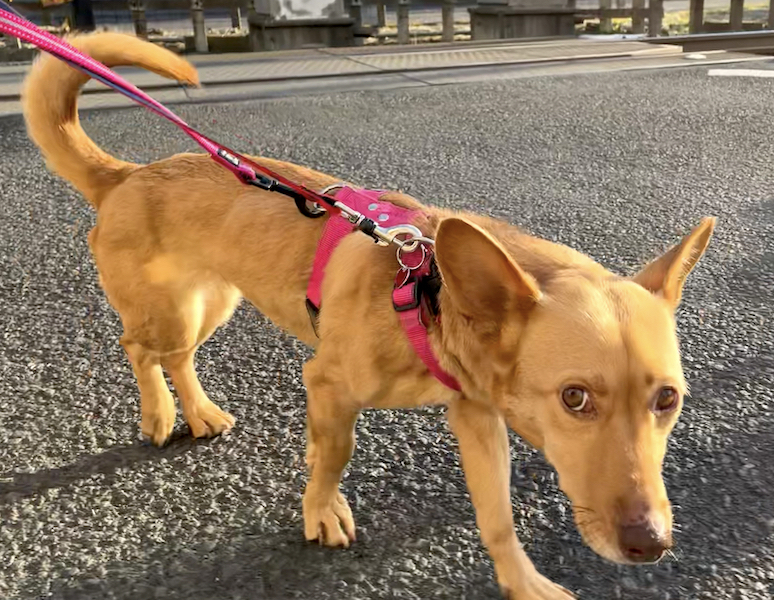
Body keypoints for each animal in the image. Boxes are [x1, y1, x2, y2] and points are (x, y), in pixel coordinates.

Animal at [21, 32, 715, 599]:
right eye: (575, 398)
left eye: (668, 400)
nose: (651, 545)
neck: (429, 294)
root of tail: (128, 175)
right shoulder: (327, 383)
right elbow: (335, 454)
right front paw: (321, 509)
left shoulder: (477, 414)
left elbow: (497, 516)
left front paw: (523, 583)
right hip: (168, 311)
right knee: (140, 349)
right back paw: (161, 414)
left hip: (212, 304)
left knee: (178, 356)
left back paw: (199, 412)